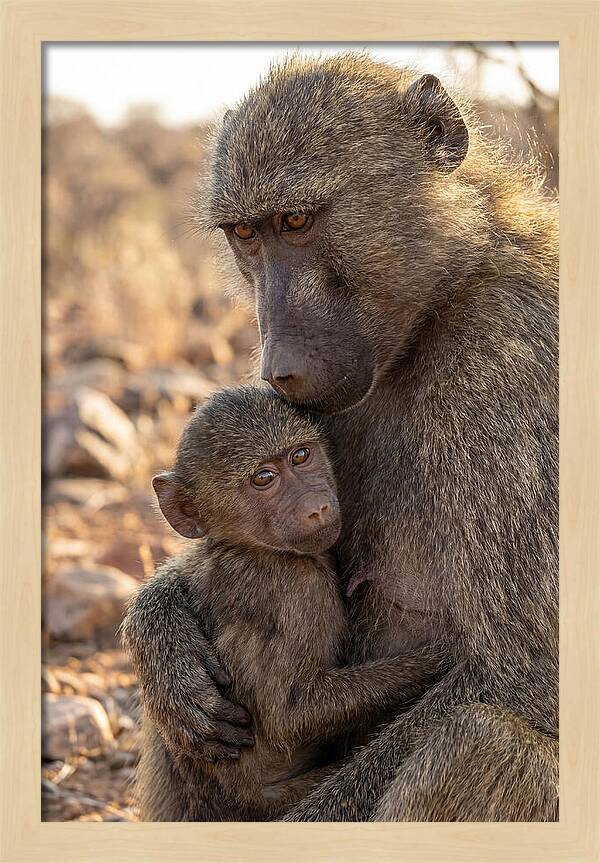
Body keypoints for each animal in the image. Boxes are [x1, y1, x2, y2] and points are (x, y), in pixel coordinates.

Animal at [124, 385, 448, 821]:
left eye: (301, 456)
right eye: (264, 478)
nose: (317, 507)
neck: (250, 547)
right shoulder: (296, 589)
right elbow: (291, 715)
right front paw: (442, 656)